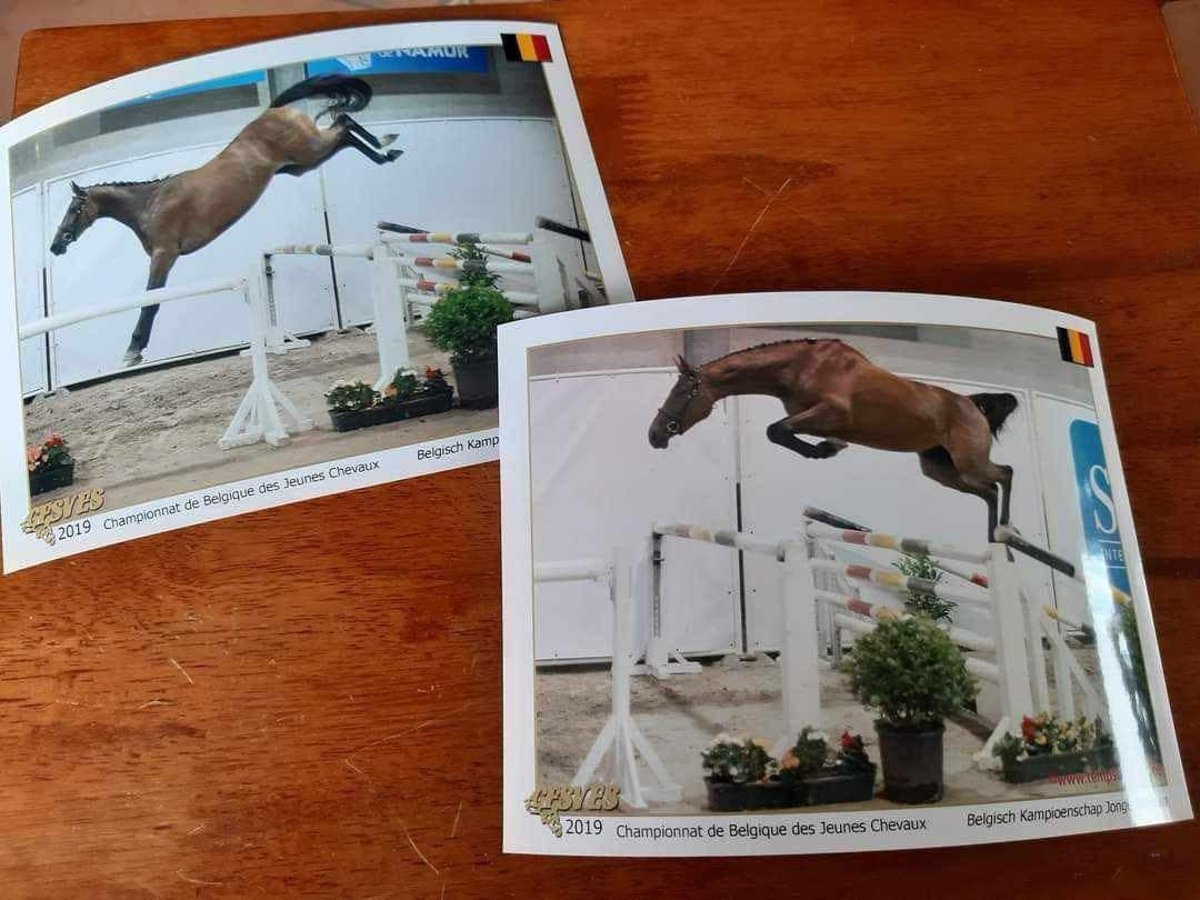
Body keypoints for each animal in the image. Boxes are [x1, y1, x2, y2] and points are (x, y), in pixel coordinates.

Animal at [49, 74, 403, 366]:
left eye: (74, 209)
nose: (56, 246)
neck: (151, 204)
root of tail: (274, 111)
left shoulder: (165, 256)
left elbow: (151, 302)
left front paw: (133, 351)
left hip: (310, 151)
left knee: (343, 122)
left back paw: (387, 145)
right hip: (302, 164)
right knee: (344, 134)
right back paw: (386, 151)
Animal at [647, 339, 1019, 542]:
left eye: (679, 392)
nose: (654, 434)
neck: (799, 366)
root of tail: (971, 404)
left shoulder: (832, 411)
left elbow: (776, 430)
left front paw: (825, 450)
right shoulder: (811, 417)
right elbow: (783, 431)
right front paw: (829, 447)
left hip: (968, 461)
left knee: (1005, 474)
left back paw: (1006, 530)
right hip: (940, 468)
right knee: (989, 490)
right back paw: (996, 543)